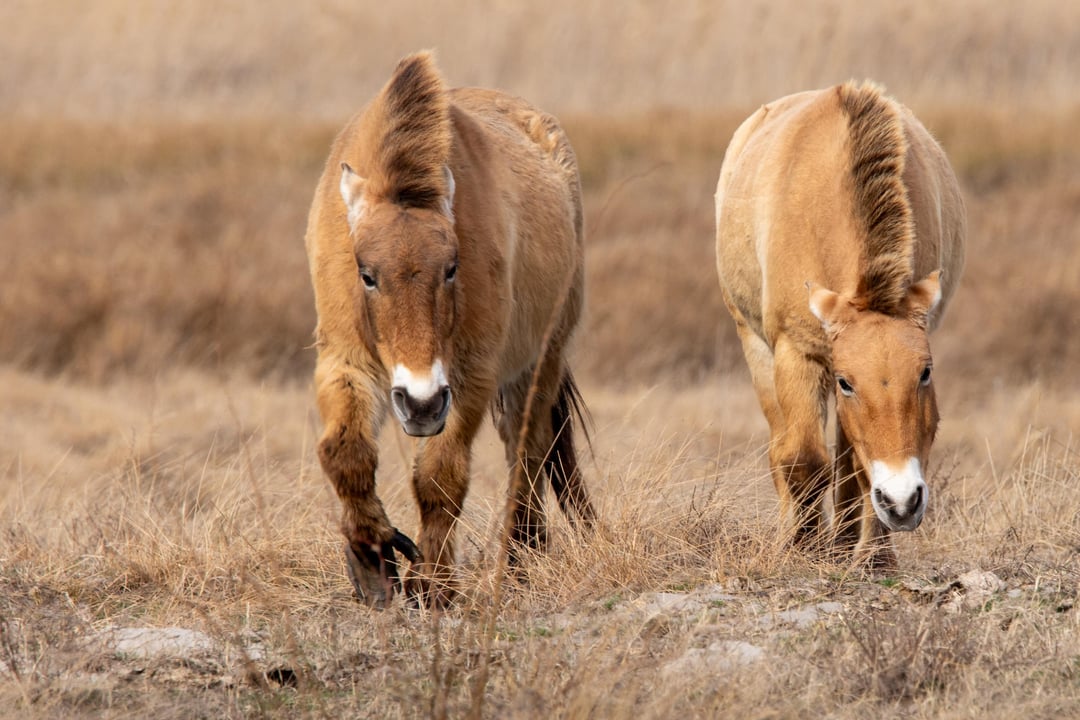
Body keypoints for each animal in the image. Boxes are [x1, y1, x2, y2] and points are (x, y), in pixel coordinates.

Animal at [304, 51, 595, 607]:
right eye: (366, 274)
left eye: (452, 268)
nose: (419, 403)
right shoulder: (344, 359)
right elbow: (346, 455)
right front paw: (373, 561)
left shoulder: (469, 376)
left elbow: (440, 478)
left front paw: (434, 585)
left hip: (540, 361)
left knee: (526, 451)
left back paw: (519, 560)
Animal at [714, 81, 966, 567]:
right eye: (848, 382)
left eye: (925, 374)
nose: (902, 503)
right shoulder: (798, 353)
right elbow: (804, 458)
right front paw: (804, 548)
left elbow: (856, 468)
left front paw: (872, 556)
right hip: (756, 346)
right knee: (783, 448)